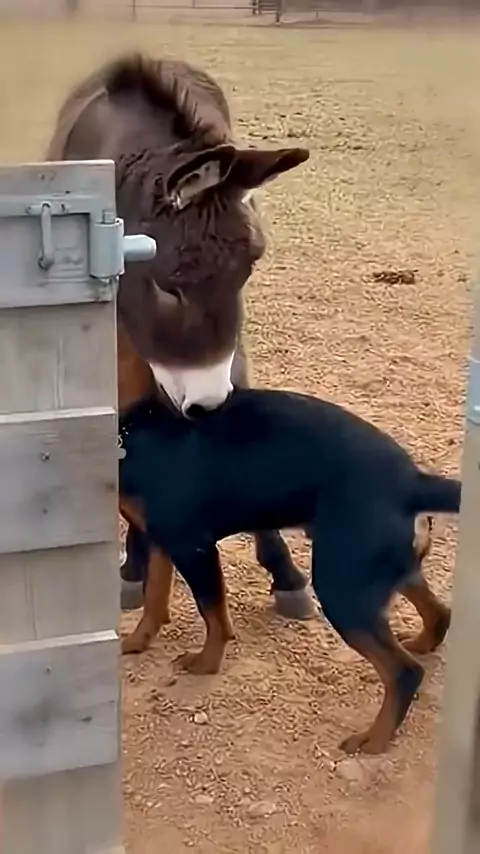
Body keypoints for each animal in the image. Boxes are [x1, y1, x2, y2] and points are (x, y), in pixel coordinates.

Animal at [45, 52, 315, 620]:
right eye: (169, 287)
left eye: (248, 273)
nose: (207, 404)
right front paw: (134, 566)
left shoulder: (222, 357)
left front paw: (285, 573)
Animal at [118, 387, 460, 754]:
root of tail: (413, 483)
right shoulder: (160, 541)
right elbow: (154, 598)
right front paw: (135, 642)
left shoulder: (194, 547)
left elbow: (212, 614)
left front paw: (205, 664)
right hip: (377, 571)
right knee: (439, 614)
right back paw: (423, 644)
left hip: (342, 588)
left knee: (403, 671)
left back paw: (374, 739)